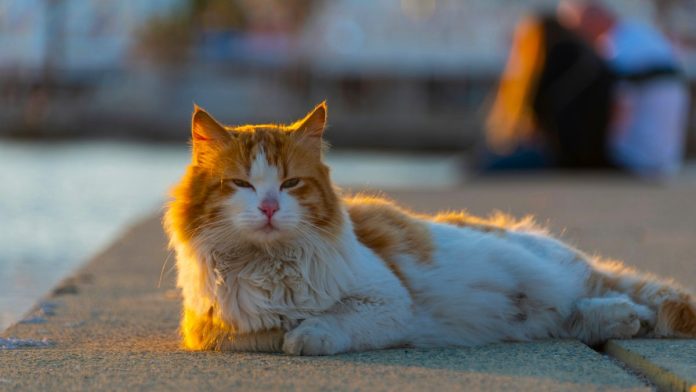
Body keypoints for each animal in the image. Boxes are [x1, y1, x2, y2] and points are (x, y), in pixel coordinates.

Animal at [164, 102, 696, 356]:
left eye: (291, 183)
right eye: (241, 184)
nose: (271, 207)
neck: (269, 266)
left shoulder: (387, 302)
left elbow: (330, 321)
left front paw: (307, 334)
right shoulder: (212, 329)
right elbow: (266, 330)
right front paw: (288, 329)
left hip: (552, 275)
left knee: (596, 296)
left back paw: (629, 314)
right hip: (549, 310)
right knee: (580, 315)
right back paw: (625, 319)